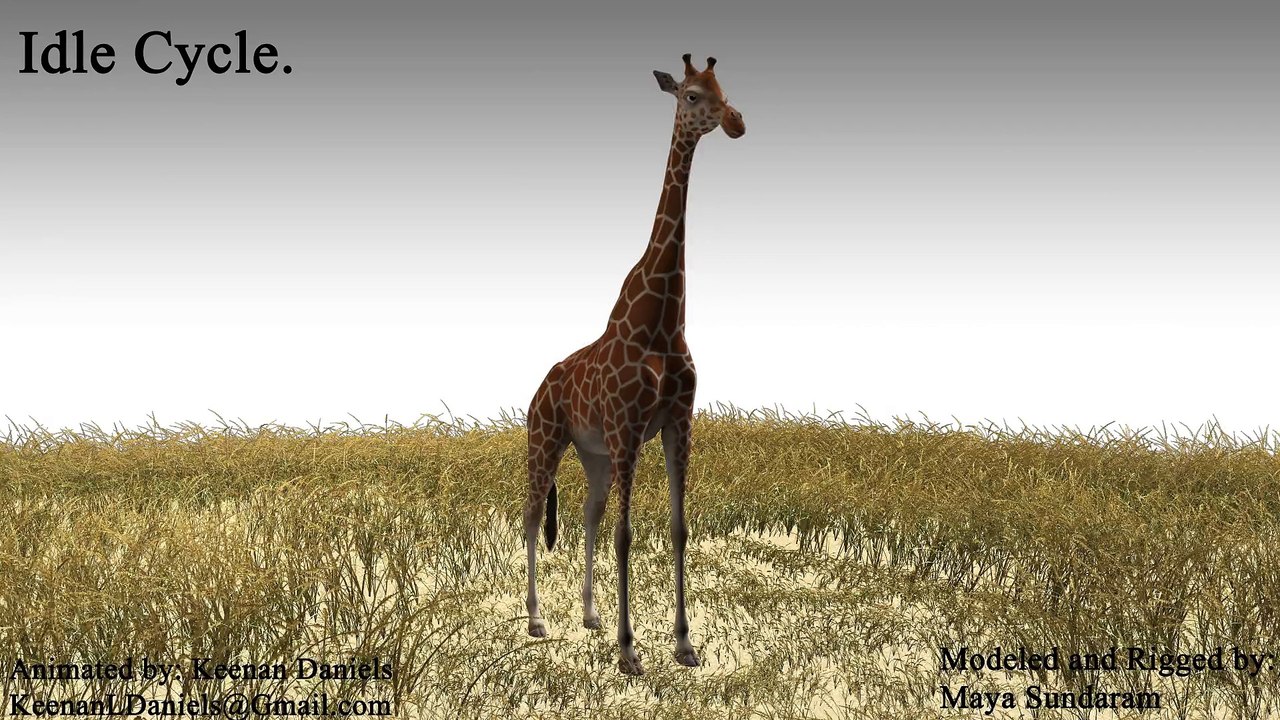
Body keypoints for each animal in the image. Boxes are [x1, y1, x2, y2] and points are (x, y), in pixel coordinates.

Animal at [523, 53, 745, 676]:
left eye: (725, 89)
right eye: (692, 95)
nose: (737, 121)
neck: (663, 319)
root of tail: (538, 388)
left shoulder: (677, 422)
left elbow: (678, 527)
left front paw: (684, 644)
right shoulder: (627, 429)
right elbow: (626, 535)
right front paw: (629, 651)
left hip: (594, 455)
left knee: (587, 514)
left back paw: (589, 616)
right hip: (546, 440)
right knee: (532, 517)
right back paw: (537, 620)